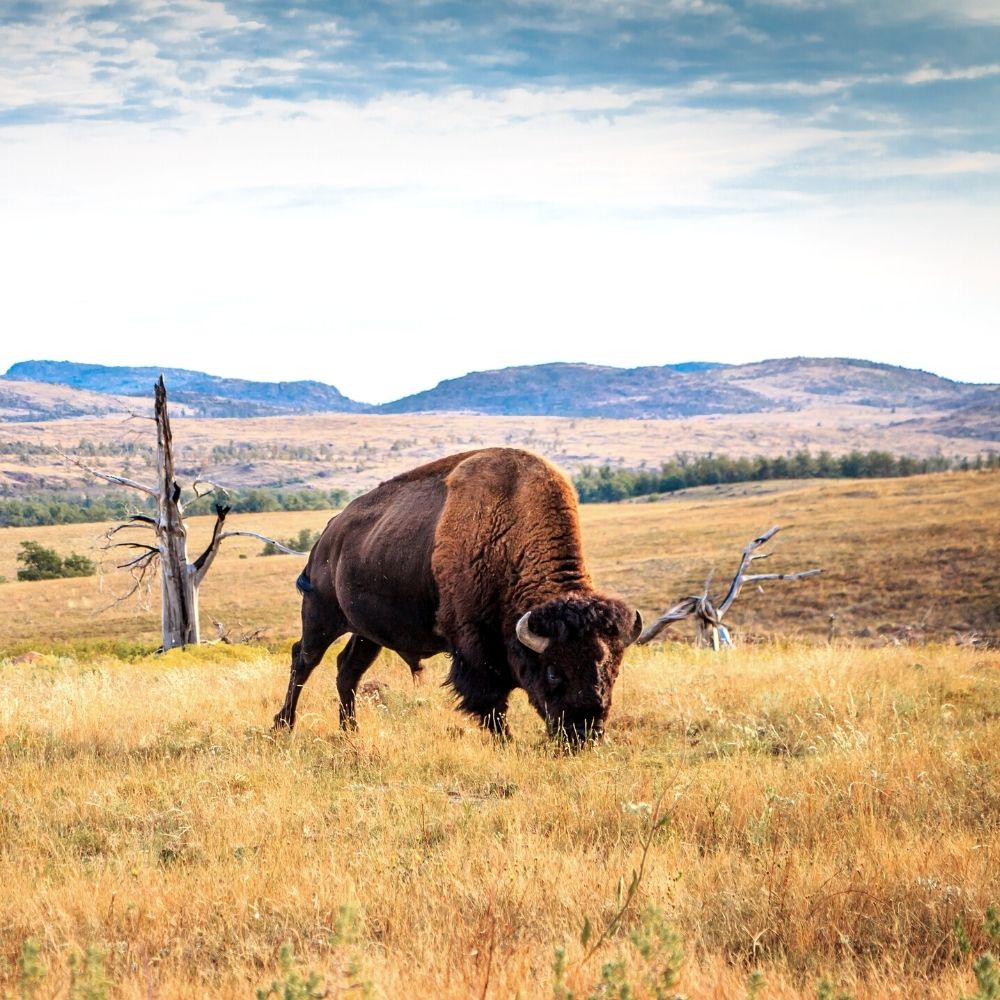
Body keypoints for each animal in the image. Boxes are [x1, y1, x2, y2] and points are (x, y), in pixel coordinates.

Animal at [273, 447, 641, 742]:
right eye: (553, 671)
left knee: (347, 669)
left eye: (613, 669)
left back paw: (350, 730)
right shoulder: (473, 644)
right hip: (320, 615)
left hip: (367, 633)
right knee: (303, 660)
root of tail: (326, 537)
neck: (509, 530)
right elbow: (490, 700)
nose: (584, 734)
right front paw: (506, 741)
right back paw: (283, 725)